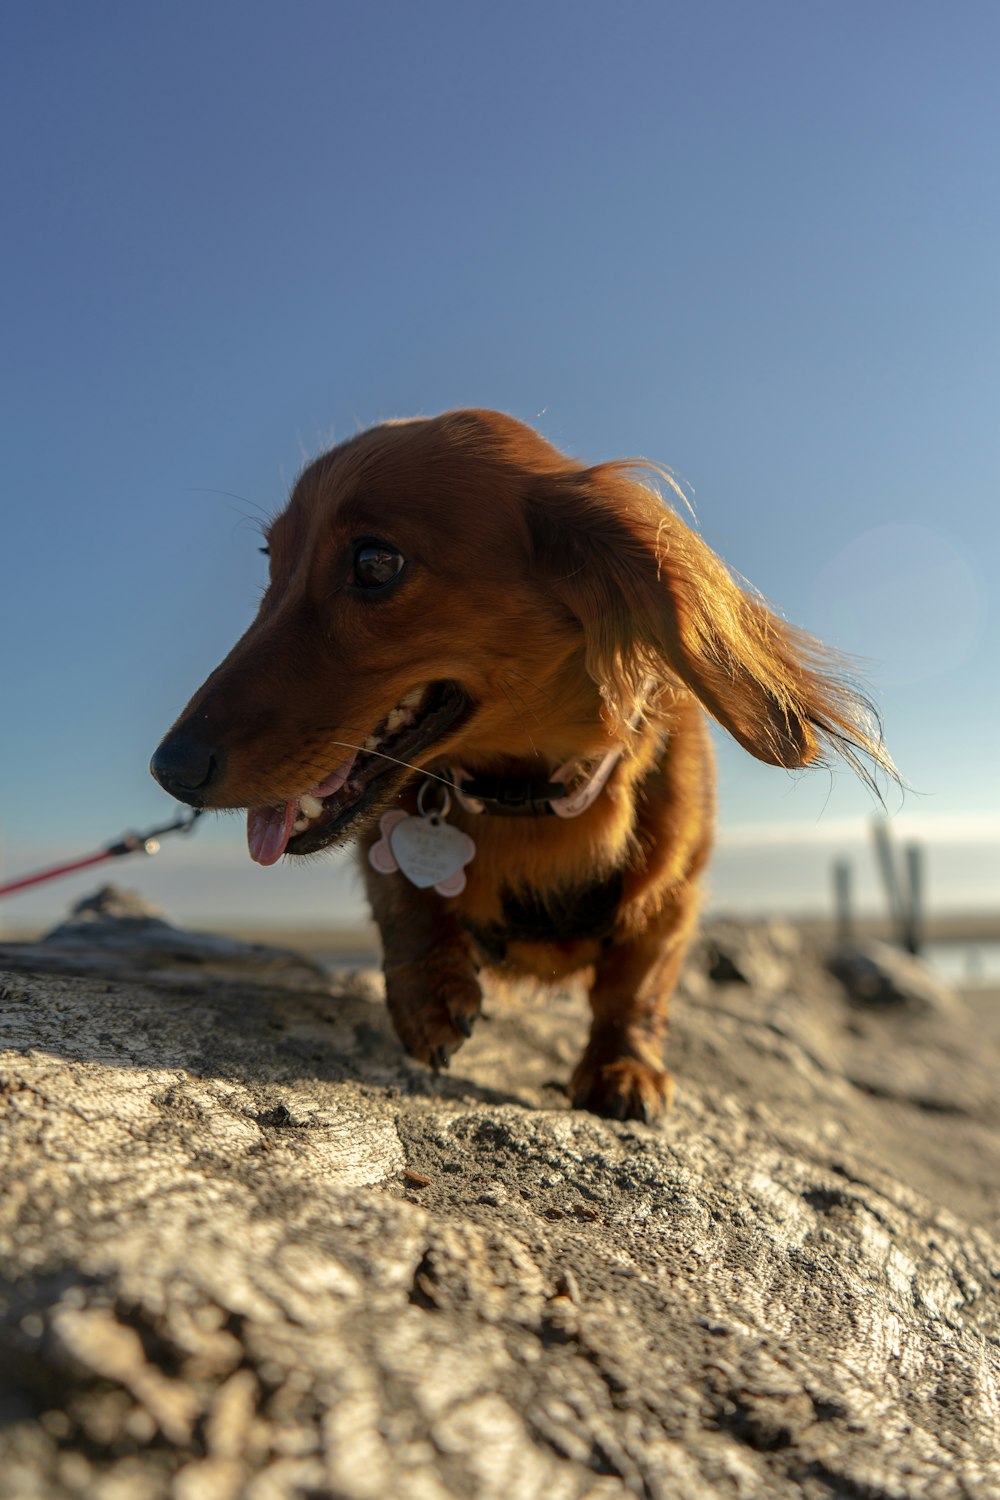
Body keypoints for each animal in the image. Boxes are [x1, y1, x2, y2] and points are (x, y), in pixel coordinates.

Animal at [150, 405, 893, 1122]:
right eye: (270, 560)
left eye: (375, 563)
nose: (169, 769)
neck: (525, 796)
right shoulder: (390, 829)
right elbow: (402, 896)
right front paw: (427, 991)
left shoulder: (677, 890)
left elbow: (638, 982)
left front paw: (624, 1067)